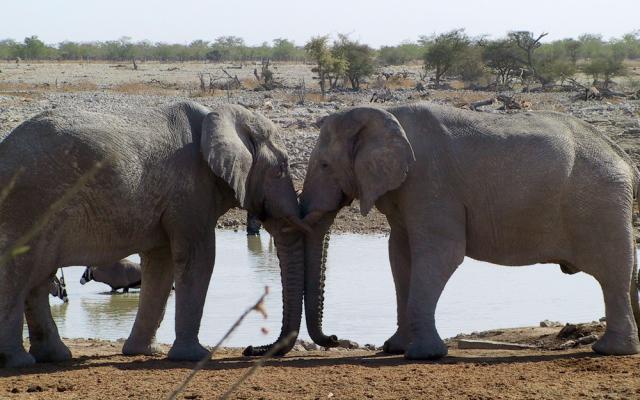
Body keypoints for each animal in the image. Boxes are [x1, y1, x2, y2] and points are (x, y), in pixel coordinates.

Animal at [0, 101, 308, 368]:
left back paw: (54, 356)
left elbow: (161, 264)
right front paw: (194, 356)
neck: (219, 115)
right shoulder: (190, 190)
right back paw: (18, 361)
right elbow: (199, 257)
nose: (249, 349)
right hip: (28, 203)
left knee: (39, 278)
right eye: (281, 169)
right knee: (20, 273)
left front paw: (143, 352)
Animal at [300, 103, 640, 360]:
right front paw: (394, 348)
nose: (335, 338)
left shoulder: (430, 183)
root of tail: (625, 158)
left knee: (612, 273)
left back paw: (610, 351)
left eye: (325, 165)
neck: (385, 114)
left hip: (602, 202)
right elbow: (399, 255)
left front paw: (423, 355)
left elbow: (441, 255)